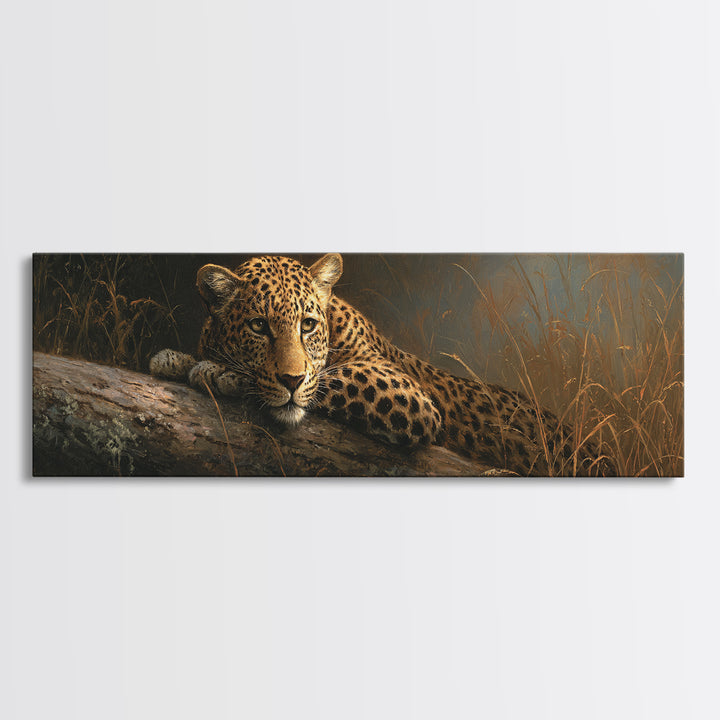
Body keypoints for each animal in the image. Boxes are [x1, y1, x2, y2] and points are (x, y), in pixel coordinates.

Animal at [149, 253, 615, 476]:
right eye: (259, 326)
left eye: (307, 324)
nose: (290, 377)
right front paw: (175, 358)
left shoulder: (408, 395)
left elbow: (325, 382)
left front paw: (218, 371)